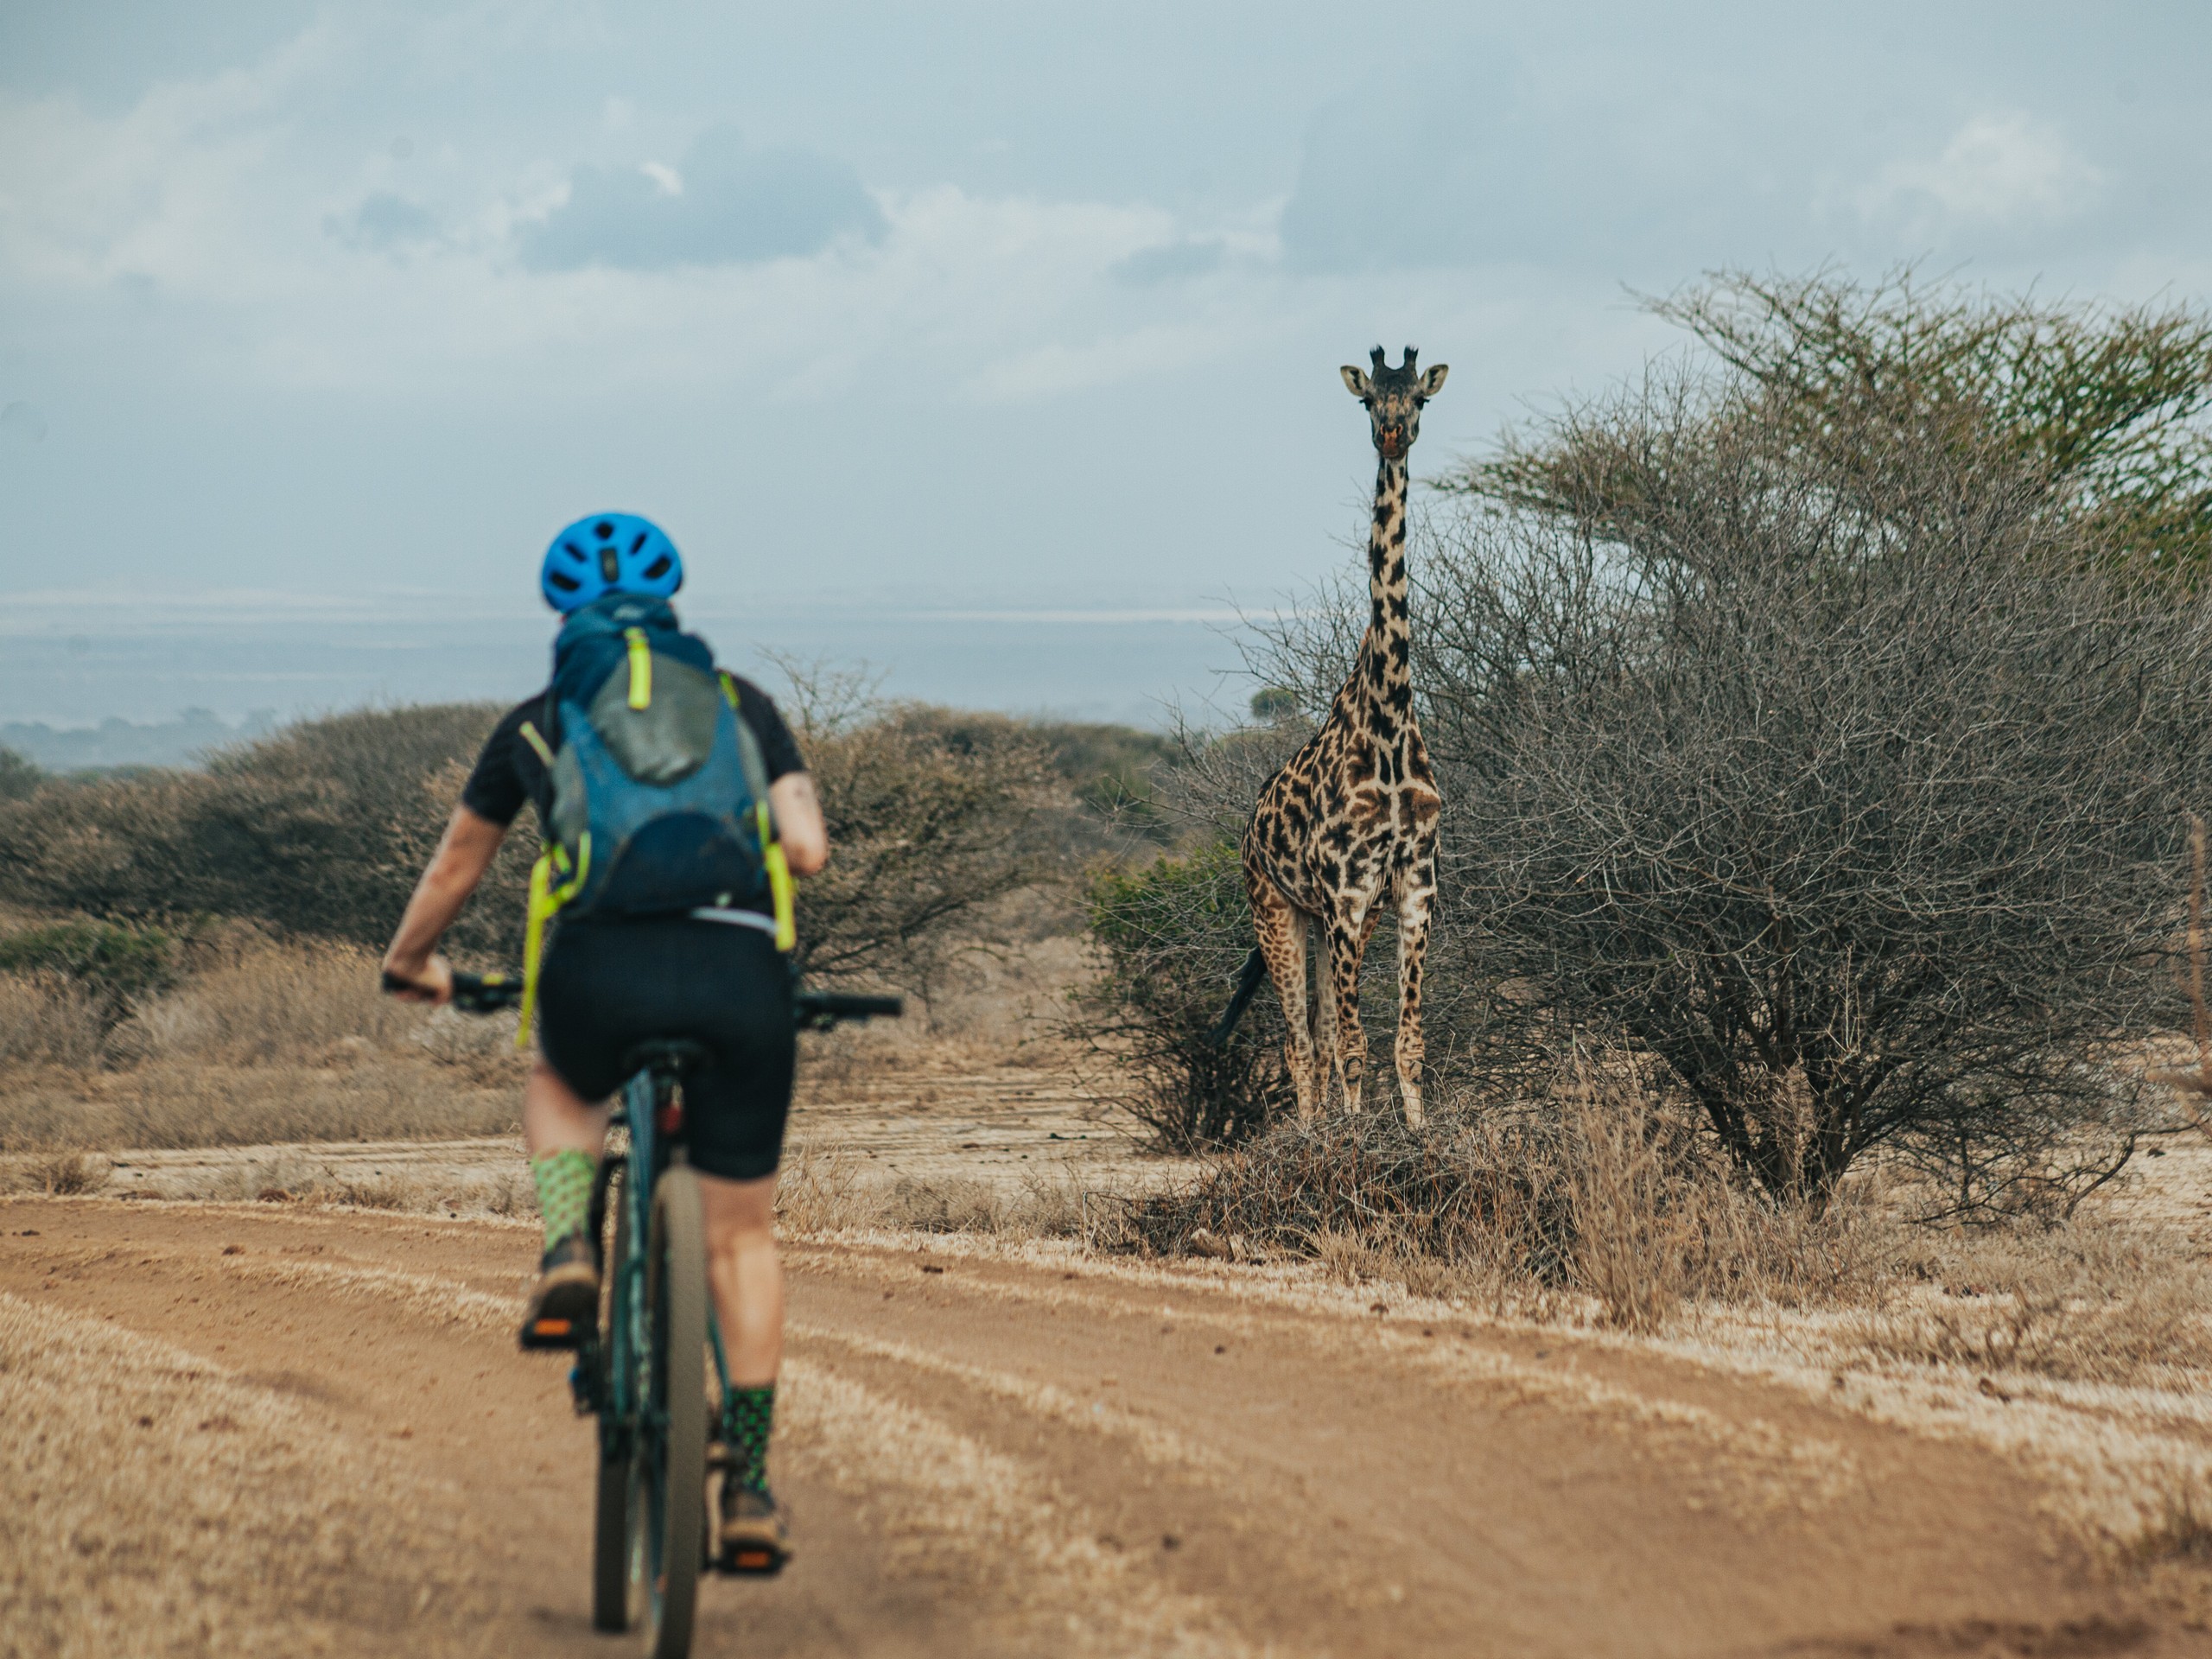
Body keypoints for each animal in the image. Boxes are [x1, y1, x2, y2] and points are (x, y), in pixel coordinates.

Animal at [1221, 346, 1442, 1132]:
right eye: (1368, 399)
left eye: (1420, 399)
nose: (1394, 435)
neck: (1390, 717)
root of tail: (1248, 829)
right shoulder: (1346, 889)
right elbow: (1352, 1043)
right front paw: (1351, 1136)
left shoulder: (1411, 885)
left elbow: (1406, 1041)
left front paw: (1417, 1131)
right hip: (1276, 908)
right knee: (1297, 1042)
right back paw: (1312, 1132)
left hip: (1325, 921)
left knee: (1312, 1038)